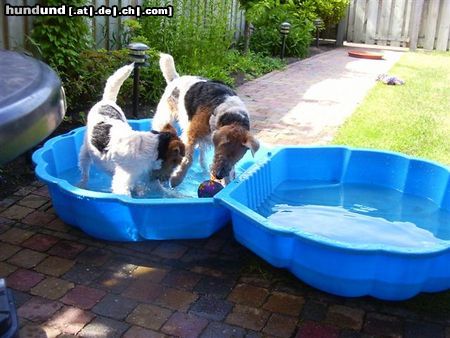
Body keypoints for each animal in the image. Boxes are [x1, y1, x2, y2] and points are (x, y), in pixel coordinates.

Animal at [78, 64, 184, 195]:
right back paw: (81, 185)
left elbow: (160, 190)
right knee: (84, 173)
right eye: (175, 161)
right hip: (84, 153)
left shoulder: (148, 177)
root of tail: (107, 101)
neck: (154, 147)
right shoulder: (123, 182)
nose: (170, 182)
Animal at [153, 52, 258, 187]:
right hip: (165, 119)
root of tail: (175, 79)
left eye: (238, 157)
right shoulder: (191, 135)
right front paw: (177, 179)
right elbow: (188, 160)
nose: (218, 175)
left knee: (202, 154)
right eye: (221, 149)